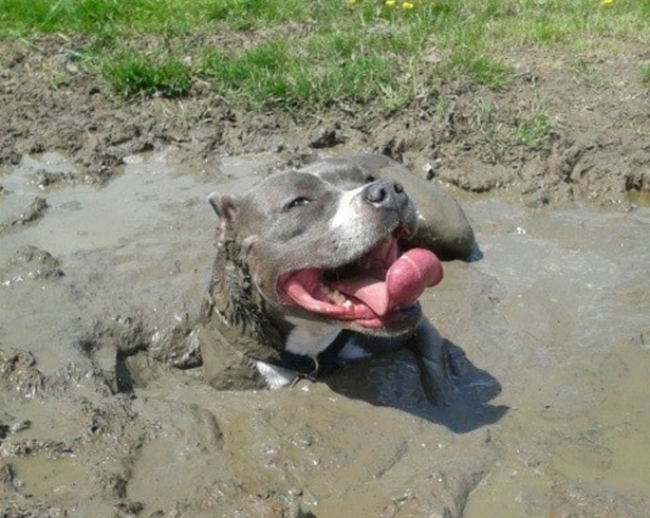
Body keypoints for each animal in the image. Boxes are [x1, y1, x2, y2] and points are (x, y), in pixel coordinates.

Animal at [195, 154, 474, 406]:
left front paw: (444, 403)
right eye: (299, 202)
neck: (314, 343)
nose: (387, 189)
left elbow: (434, 369)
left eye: (368, 178)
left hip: (449, 229)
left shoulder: (419, 327)